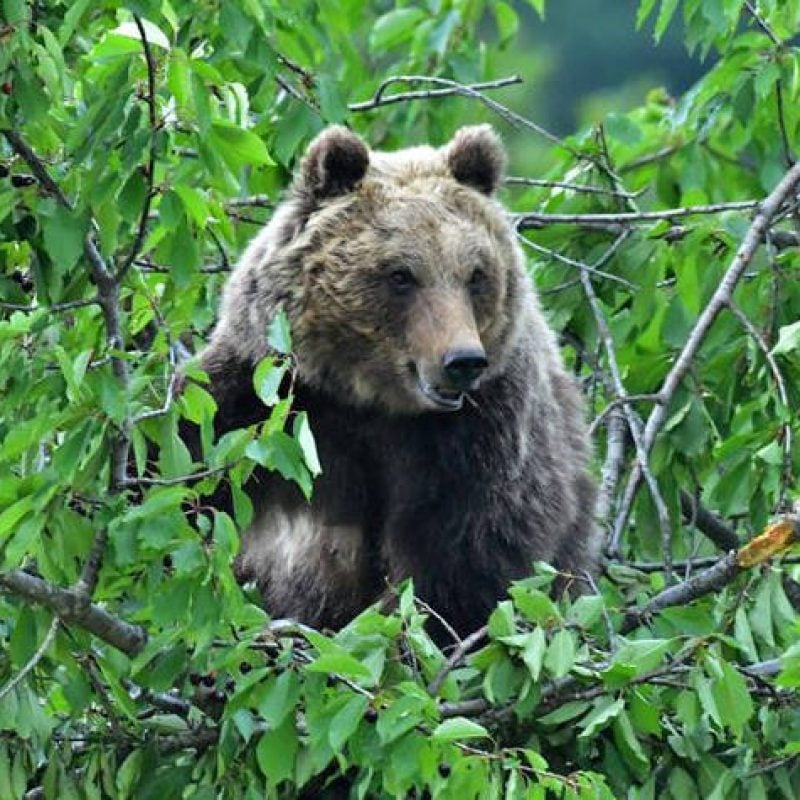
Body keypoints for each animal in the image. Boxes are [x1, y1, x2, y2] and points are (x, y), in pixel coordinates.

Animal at [197, 125, 596, 636]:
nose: (463, 361)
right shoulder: (265, 397)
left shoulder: (479, 439)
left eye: (476, 274)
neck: (369, 399)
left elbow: (463, 564)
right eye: (401, 275)